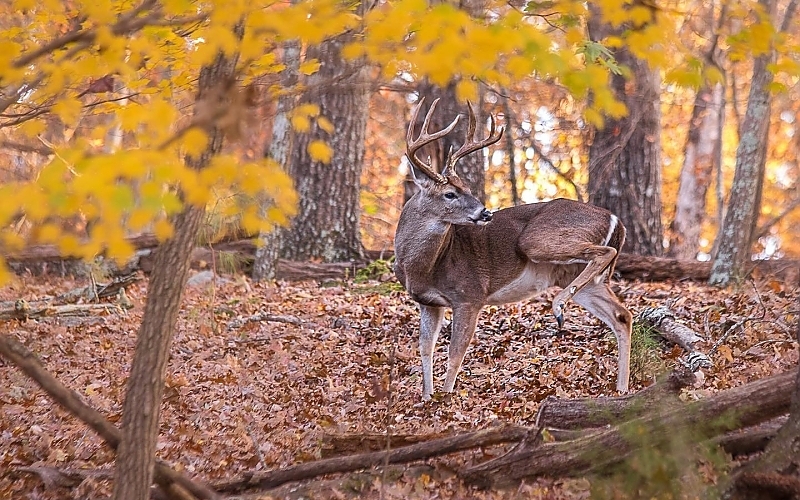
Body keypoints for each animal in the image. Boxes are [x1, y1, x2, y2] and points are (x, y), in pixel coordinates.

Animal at [394, 99, 632, 400]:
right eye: (450, 194)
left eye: (468, 188)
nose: (485, 212)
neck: (421, 267)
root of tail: (615, 220)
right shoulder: (428, 302)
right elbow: (425, 349)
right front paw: (426, 398)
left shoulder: (470, 295)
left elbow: (455, 354)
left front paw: (446, 400)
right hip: (579, 277)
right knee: (622, 315)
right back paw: (622, 389)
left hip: (536, 241)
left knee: (604, 255)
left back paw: (558, 307)